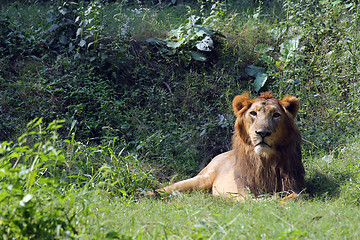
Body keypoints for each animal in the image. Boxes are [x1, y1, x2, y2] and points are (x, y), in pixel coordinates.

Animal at [148, 92, 306, 201]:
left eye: (276, 115)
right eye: (253, 113)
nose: (262, 132)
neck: (266, 160)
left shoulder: (295, 186)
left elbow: (294, 197)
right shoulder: (244, 189)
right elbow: (254, 200)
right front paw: (270, 200)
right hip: (201, 179)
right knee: (168, 188)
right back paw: (146, 193)